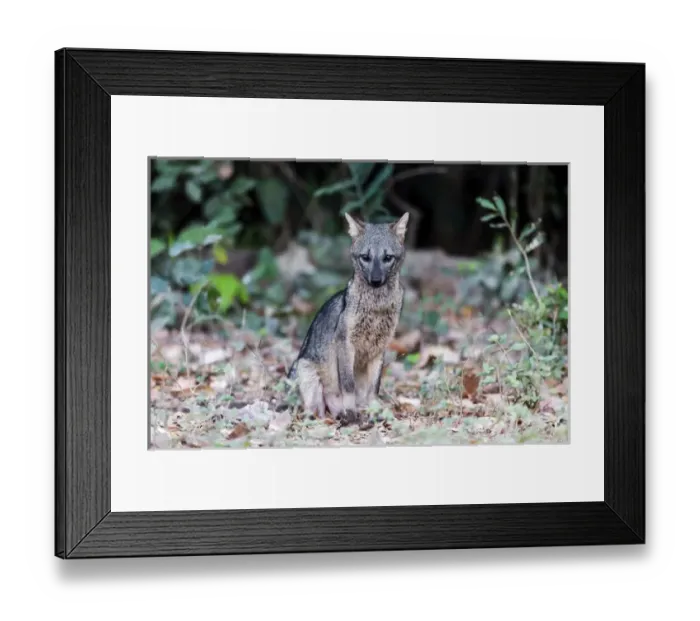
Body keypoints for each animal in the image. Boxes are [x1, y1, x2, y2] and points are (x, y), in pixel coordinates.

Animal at [288, 211, 410, 425]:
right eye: (365, 257)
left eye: (387, 258)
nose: (375, 281)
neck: (376, 308)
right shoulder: (345, 344)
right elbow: (348, 385)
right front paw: (351, 411)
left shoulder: (379, 349)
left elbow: (373, 390)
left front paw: (374, 412)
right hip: (308, 377)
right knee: (314, 413)